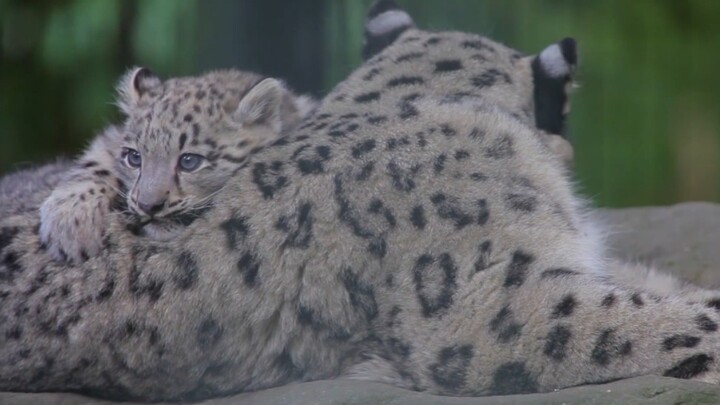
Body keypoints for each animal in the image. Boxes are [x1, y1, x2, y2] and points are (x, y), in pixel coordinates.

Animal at [38, 68, 316, 263]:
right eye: (134, 157)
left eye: (189, 161)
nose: (148, 206)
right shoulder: (111, 140)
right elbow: (97, 161)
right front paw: (70, 223)